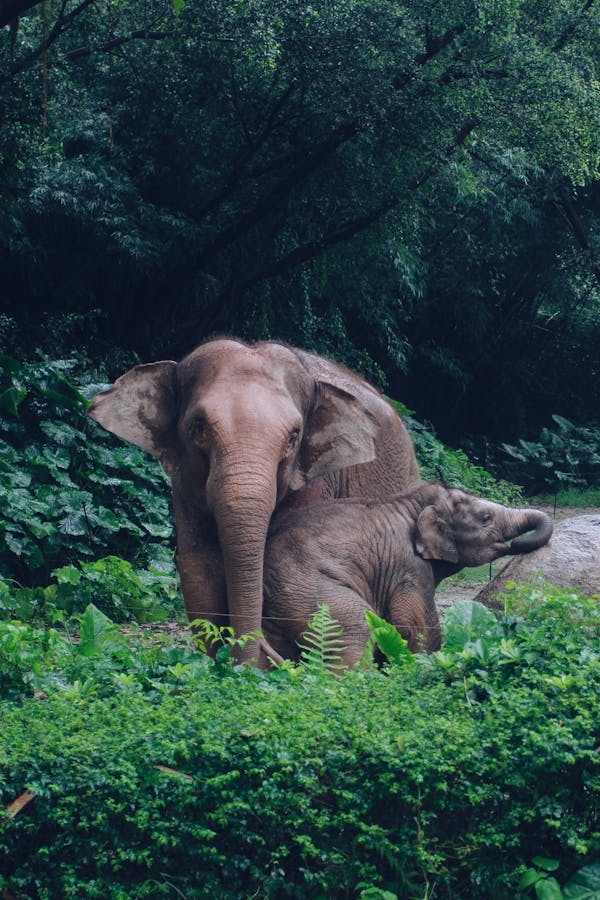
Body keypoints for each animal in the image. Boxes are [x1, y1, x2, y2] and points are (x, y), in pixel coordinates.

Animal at [88, 338, 420, 666]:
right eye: (199, 427)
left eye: (294, 437)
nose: (254, 657)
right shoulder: (184, 486)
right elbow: (200, 568)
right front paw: (223, 667)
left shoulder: (315, 481)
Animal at [262, 481, 553, 665]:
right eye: (485, 519)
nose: (517, 544)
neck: (411, 502)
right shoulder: (409, 566)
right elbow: (416, 627)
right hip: (307, 589)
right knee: (355, 628)